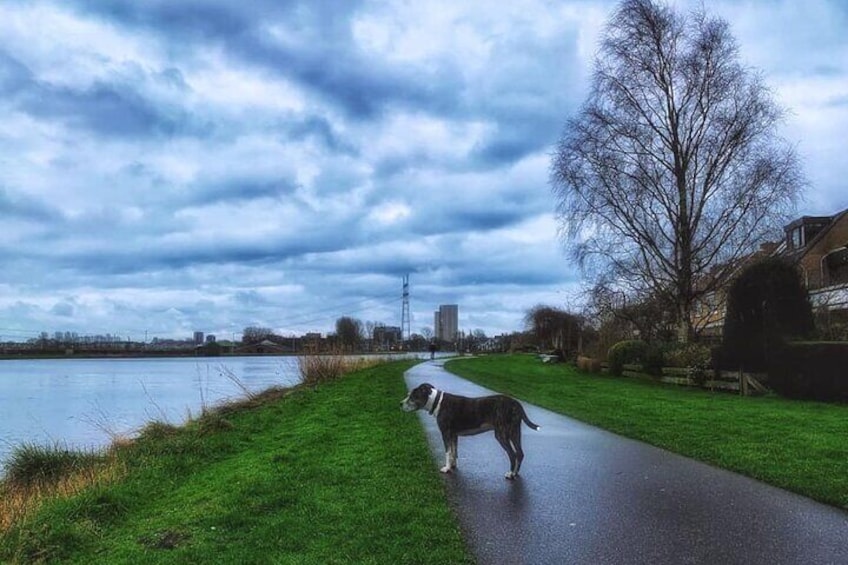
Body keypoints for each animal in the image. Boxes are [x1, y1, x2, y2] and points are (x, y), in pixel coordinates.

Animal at [400, 382, 540, 478]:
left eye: (413, 396)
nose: (400, 404)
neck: (437, 402)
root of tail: (516, 403)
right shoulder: (453, 434)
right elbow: (453, 451)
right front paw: (453, 466)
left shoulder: (445, 433)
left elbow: (447, 452)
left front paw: (446, 468)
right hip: (514, 431)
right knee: (520, 453)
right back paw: (515, 473)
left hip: (501, 434)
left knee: (512, 454)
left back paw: (510, 474)